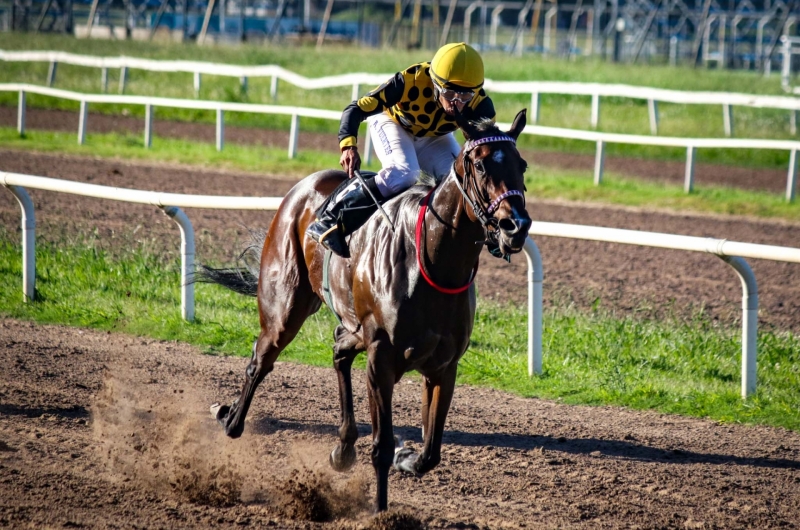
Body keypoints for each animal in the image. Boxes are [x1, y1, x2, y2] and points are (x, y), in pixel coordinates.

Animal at [202, 109, 532, 510]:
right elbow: (381, 445)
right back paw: (230, 418)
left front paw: (406, 456)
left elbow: (431, 452)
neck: (434, 262)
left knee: (338, 348)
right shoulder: (382, 358)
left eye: (521, 165)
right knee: (261, 360)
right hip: (285, 306)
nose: (516, 226)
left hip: (354, 324)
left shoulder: (443, 365)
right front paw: (379, 509)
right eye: (481, 165)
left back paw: (343, 446)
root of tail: (305, 188)